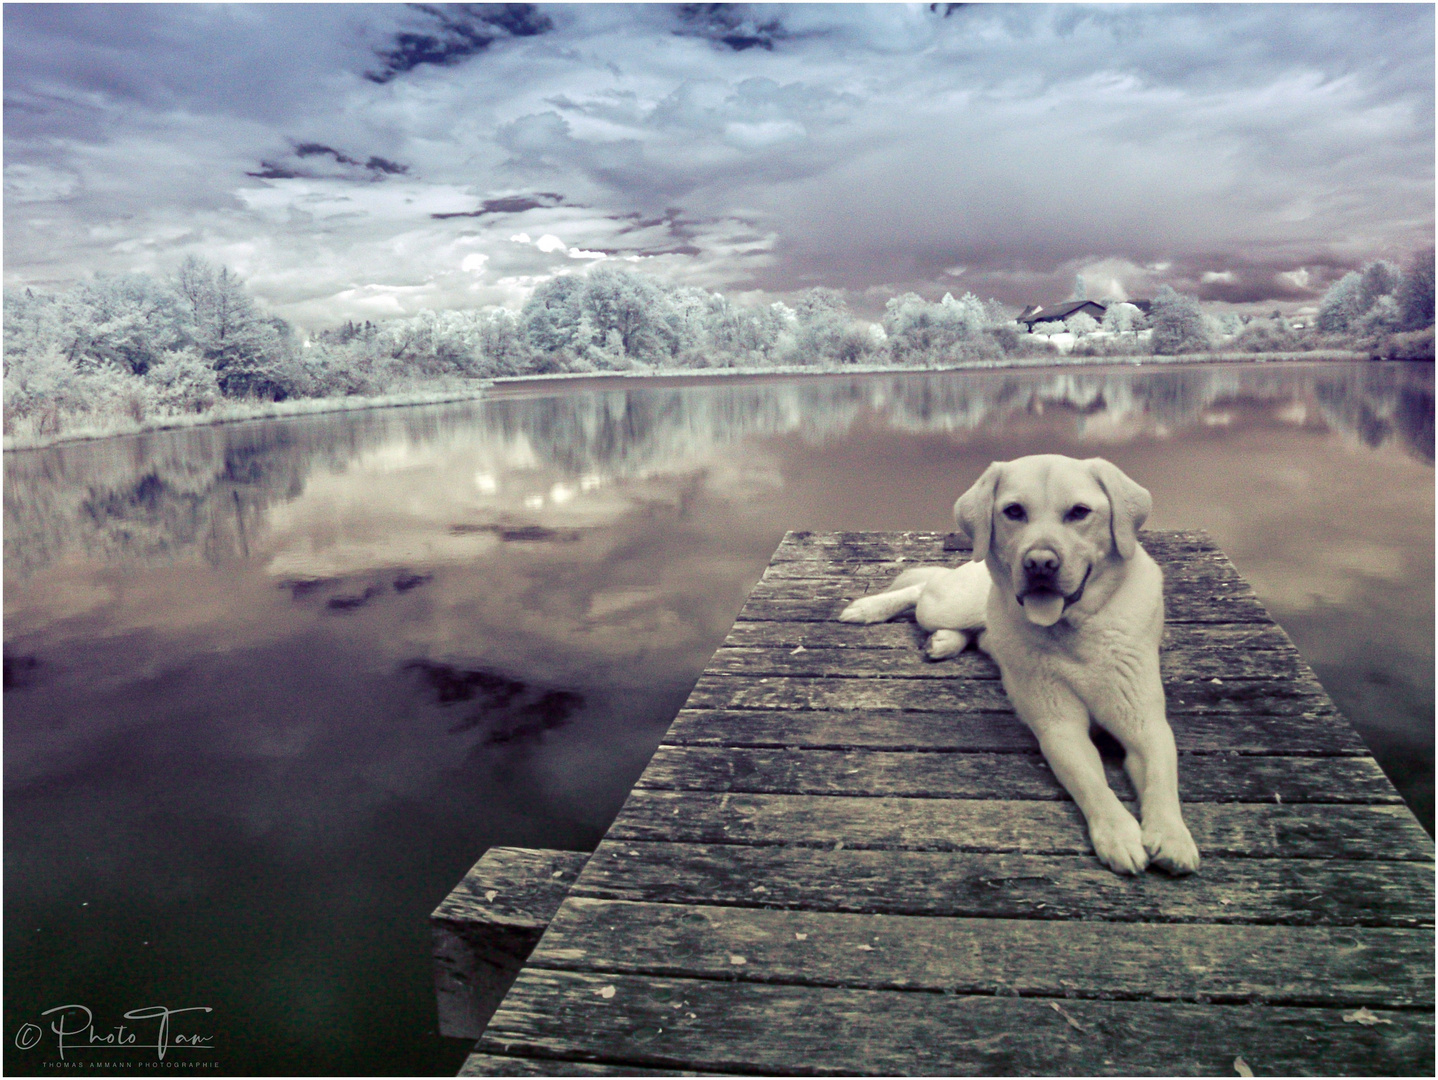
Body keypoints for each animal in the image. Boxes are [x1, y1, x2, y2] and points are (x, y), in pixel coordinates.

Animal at [839, 457, 1202, 880]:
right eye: (1014, 512)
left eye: (1079, 512)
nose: (1040, 564)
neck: (1074, 630)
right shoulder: (1059, 728)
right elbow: (1092, 783)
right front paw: (1119, 834)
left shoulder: (1144, 723)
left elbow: (1163, 776)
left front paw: (1172, 835)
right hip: (948, 603)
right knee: (921, 591)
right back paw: (871, 609)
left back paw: (945, 641)